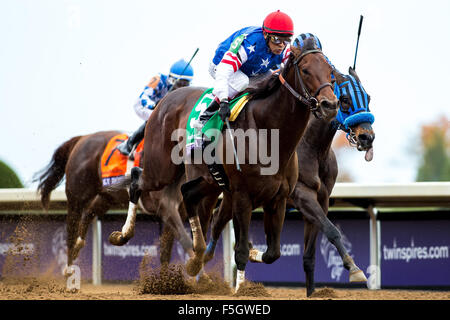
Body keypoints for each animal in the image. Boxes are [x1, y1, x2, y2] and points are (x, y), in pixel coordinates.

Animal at [110, 38, 338, 292]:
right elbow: (240, 249)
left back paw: (196, 257)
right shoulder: (242, 195)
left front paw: (252, 255)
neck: (269, 133)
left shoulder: (278, 198)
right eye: (306, 70)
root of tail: (166, 100)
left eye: (330, 71)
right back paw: (123, 235)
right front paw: (241, 289)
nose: (330, 104)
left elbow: (273, 253)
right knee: (137, 178)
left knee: (187, 193)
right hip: (162, 169)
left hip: (209, 181)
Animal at [202, 66, 374, 296]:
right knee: (214, 224)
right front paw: (354, 268)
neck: (311, 148)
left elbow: (309, 256)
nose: (367, 137)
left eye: (368, 97)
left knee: (225, 224)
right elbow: (331, 229)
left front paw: (312, 293)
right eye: (345, 100)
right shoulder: (302, 195)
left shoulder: (321, 200)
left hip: (234, 196)